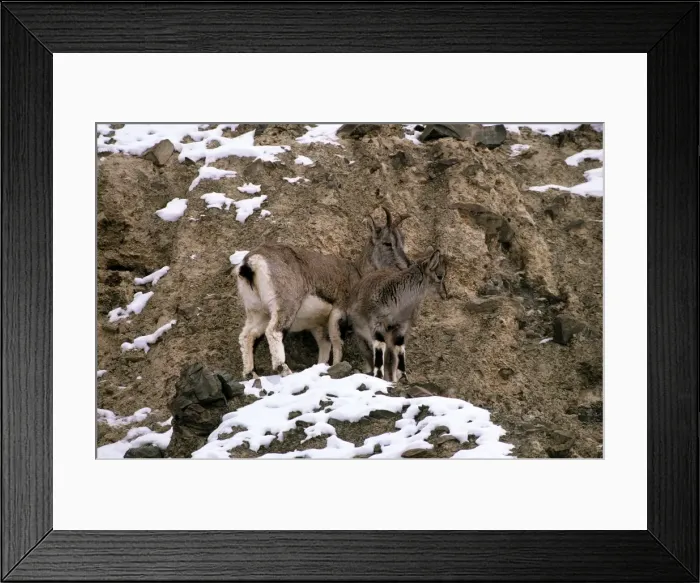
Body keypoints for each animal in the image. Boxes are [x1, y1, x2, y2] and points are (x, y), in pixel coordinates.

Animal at [235, 207, 411, 379]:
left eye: (402, 242)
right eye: (387, 243)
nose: (406, 266)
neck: (358, 275)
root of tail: (250, 264)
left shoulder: (317, 326)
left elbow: (325, 346)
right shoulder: (339, 312)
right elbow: (337, 342)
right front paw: (337, 366)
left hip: (258, 311)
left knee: (247, 336)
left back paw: (250, 373)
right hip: (286, 304)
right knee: (273, 332)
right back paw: (283, 369)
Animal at [348, 249, 448, 383]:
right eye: (440, 276)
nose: (445, 295)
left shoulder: (401, 326)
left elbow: (399, 349)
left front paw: (404, 377)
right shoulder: (376, 322)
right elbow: (380, 346)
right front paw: (378, 376)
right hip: (361, 337)